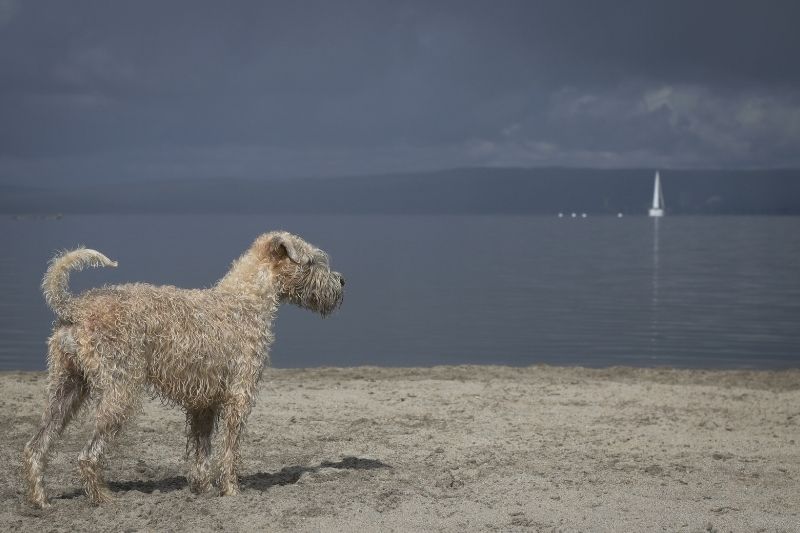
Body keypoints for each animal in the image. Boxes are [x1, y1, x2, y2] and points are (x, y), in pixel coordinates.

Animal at [21, 231, 344, 504]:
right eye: (313, 261)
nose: (342, 281)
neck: (246, 300)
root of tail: (73, 308)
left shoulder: (204, 403)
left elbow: (202, 452)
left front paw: (202, 488)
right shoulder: (240, 394)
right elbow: (229, 450)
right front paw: (231, 490)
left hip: (67, 386)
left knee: (36, 446)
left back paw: (41, 500)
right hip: (120, 392)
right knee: (87, 456)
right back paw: (103, 498)